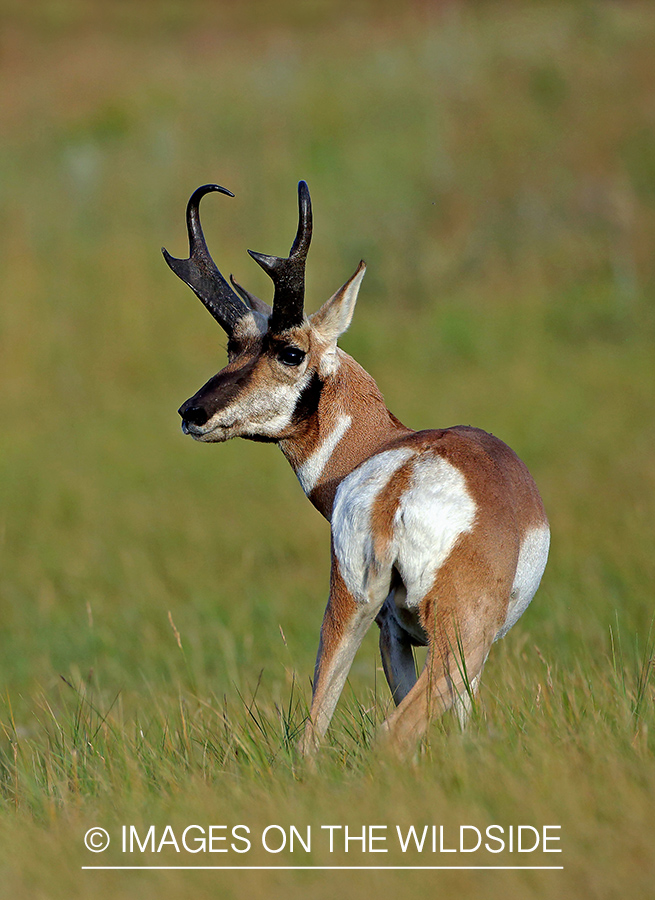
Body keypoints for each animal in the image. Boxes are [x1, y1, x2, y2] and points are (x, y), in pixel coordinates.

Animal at [163, 181, 548, 752]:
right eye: (235, 346)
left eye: (287, 351)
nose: (193, 412)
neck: (384, 442)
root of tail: (399, 484)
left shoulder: (390, 632)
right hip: (461, 637)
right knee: (395, 732)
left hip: (350, 609)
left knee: (311, 734)